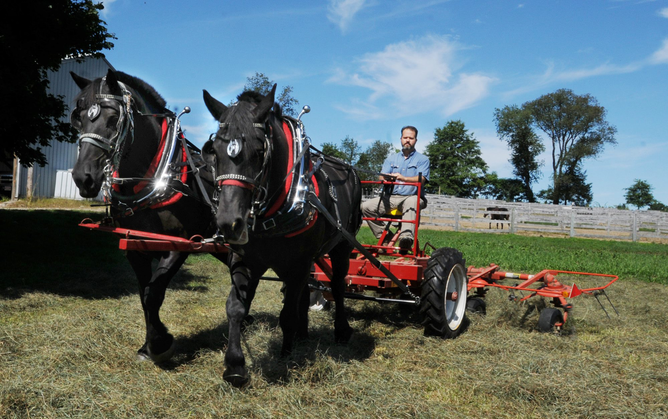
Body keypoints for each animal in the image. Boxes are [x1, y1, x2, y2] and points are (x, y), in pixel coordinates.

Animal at [71, 69, 222, 364]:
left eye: (113, 118)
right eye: (78, 118)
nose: (84, 178)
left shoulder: (179, 245)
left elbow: (154, 294)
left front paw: (160, 344)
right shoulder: (135, 247)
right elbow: (144, 295)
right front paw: (148, 345)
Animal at [202, 84, 362, 388]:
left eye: (258, 150)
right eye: (214, 151)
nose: (229, 223)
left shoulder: (298, 263)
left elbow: (287, 313)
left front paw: (286, 355)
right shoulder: (246, 260)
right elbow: (236, 308)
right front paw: (235, 365)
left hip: (342, 247)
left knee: (336, 286)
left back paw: (341, 330)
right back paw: (303, 332)